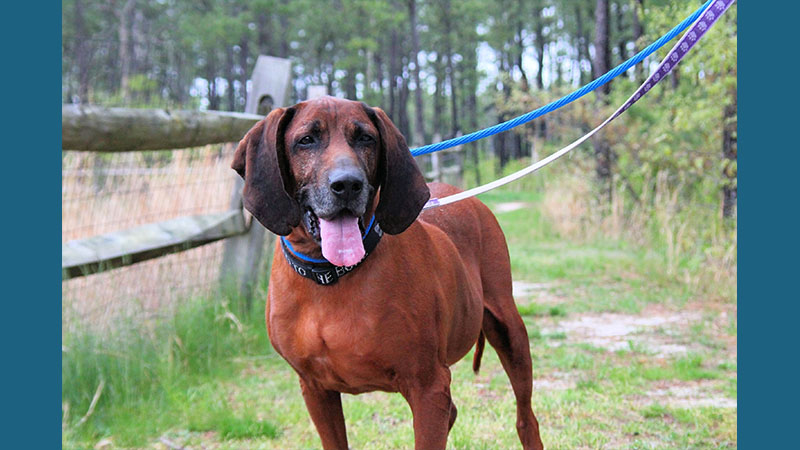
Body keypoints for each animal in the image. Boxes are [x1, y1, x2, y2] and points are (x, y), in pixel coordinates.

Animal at [231, 96, 544, 448]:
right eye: (306, 140)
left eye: (366, 138)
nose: (348, 184)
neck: (330, 275)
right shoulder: (315, 388)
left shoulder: (427, 385)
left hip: (509, 331)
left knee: (525, 418)